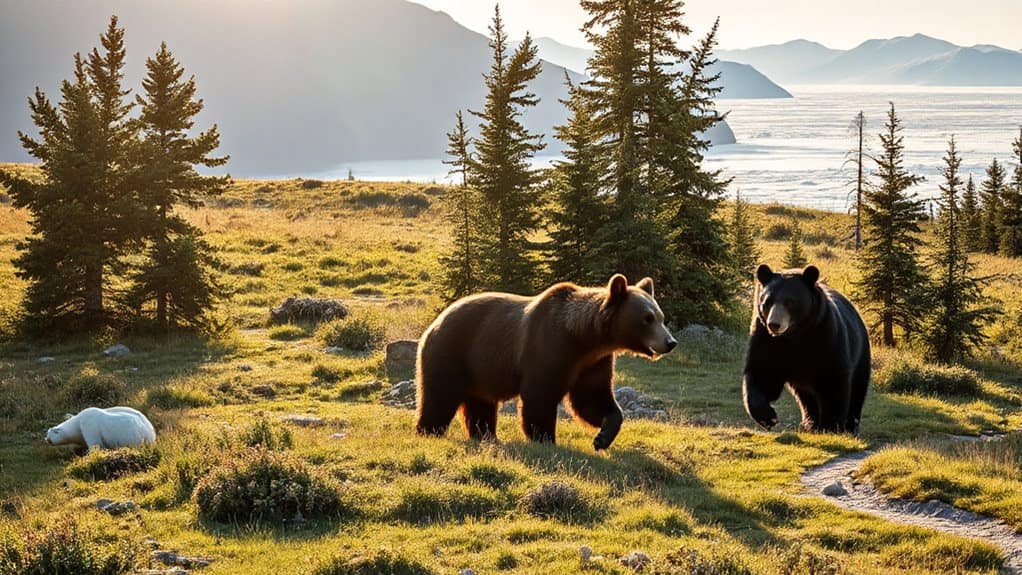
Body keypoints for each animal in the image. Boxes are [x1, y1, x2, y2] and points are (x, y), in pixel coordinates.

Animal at [415, 274, 677, 450]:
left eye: (661, 316)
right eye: (647, 318)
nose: (670, 342)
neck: (583, 338)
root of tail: (436, 321)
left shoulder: (593, 362)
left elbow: (593, 398)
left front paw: (602, 436)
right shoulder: (548, 347)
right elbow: (540, 396)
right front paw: (544, 438)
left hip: (480, 368)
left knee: (481, 404)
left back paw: (486, 436)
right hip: (453, 352)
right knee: (439, 396)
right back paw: (429, 431)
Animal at [743, 264, 870, 434]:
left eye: (790, 301)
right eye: (767, 301)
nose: (774, 324)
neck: (795, 336)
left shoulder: (826, 336)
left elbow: (833, 380)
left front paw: (831, 426)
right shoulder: (766, 340)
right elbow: (762, 374)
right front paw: (768, 417)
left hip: (860, 352)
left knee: (857, 389)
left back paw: (850, 425)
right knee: (807, 398)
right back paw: (810, 423)